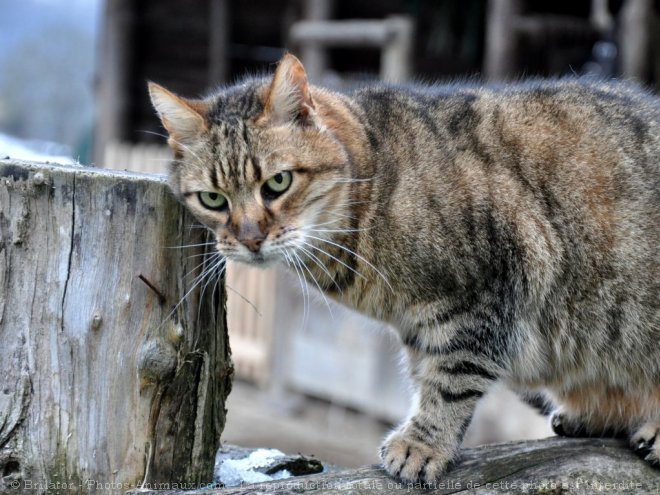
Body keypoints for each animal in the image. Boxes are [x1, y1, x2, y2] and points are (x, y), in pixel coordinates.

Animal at [150, 55, 660, 484]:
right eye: (213, 199)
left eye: (277, 183)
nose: (250, 238)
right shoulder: (420, 325)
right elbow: (425, 377)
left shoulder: (485, 293)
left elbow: (451, 381)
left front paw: (422, 445)